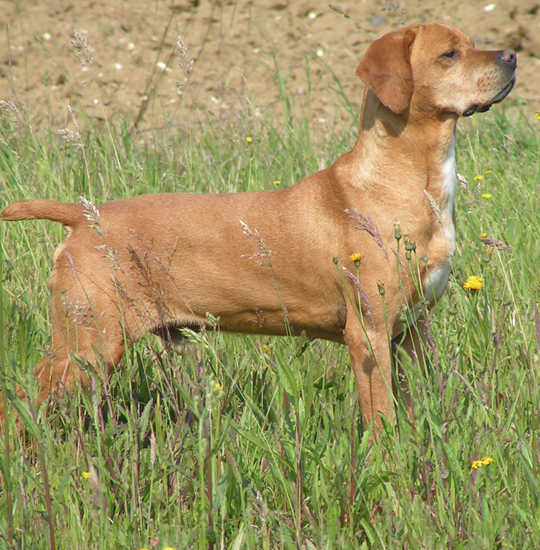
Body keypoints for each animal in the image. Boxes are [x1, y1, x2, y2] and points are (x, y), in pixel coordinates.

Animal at [0, 23, 516, 432]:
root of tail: (83, 216)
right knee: (22, 405)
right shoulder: (368, 334)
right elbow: (381, 420)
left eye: (473, 43)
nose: (512, 56)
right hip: (86, 346)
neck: (407, 182)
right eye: (449, 54)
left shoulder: (411, 330)